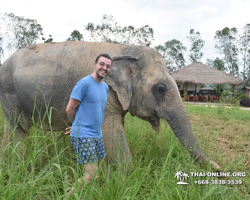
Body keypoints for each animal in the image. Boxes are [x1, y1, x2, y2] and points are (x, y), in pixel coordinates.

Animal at [0, 41, 219, 169]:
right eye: (160, 88)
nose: (219, 168)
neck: (126, 49)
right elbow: (112, 134)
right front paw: (126, 176)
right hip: (9, 92)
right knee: (19, 128)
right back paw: (21, 164)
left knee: (11, 129)